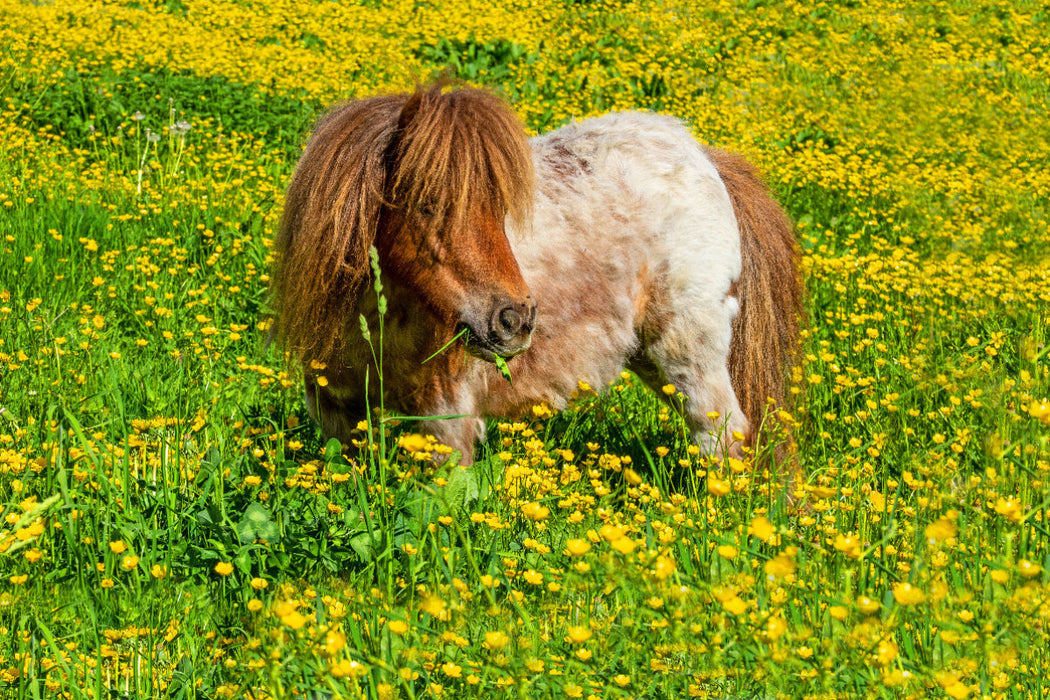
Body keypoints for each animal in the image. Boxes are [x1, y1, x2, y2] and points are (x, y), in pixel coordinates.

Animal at [269, 82, 801, 465]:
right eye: (428, 204)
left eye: (499, 207)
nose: (514, 321)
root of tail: (705, 157)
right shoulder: (338, 414)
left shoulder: (446, 420)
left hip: (688, 354)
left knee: (724, 436)